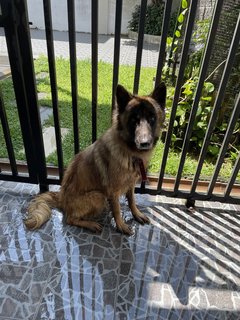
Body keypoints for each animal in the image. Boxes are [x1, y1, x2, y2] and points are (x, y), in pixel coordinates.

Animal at [25, 83, 166, 235]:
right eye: (134, 119)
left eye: (152, 118)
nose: (145, 143)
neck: (129, 152)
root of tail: (61, 198)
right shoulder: (113, 191)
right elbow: (117, 210)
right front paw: (120, 225)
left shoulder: (131, 184)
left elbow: (132, 201)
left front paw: (136, 214)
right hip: (98, 196)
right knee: (70, 219)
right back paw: (90, 224)